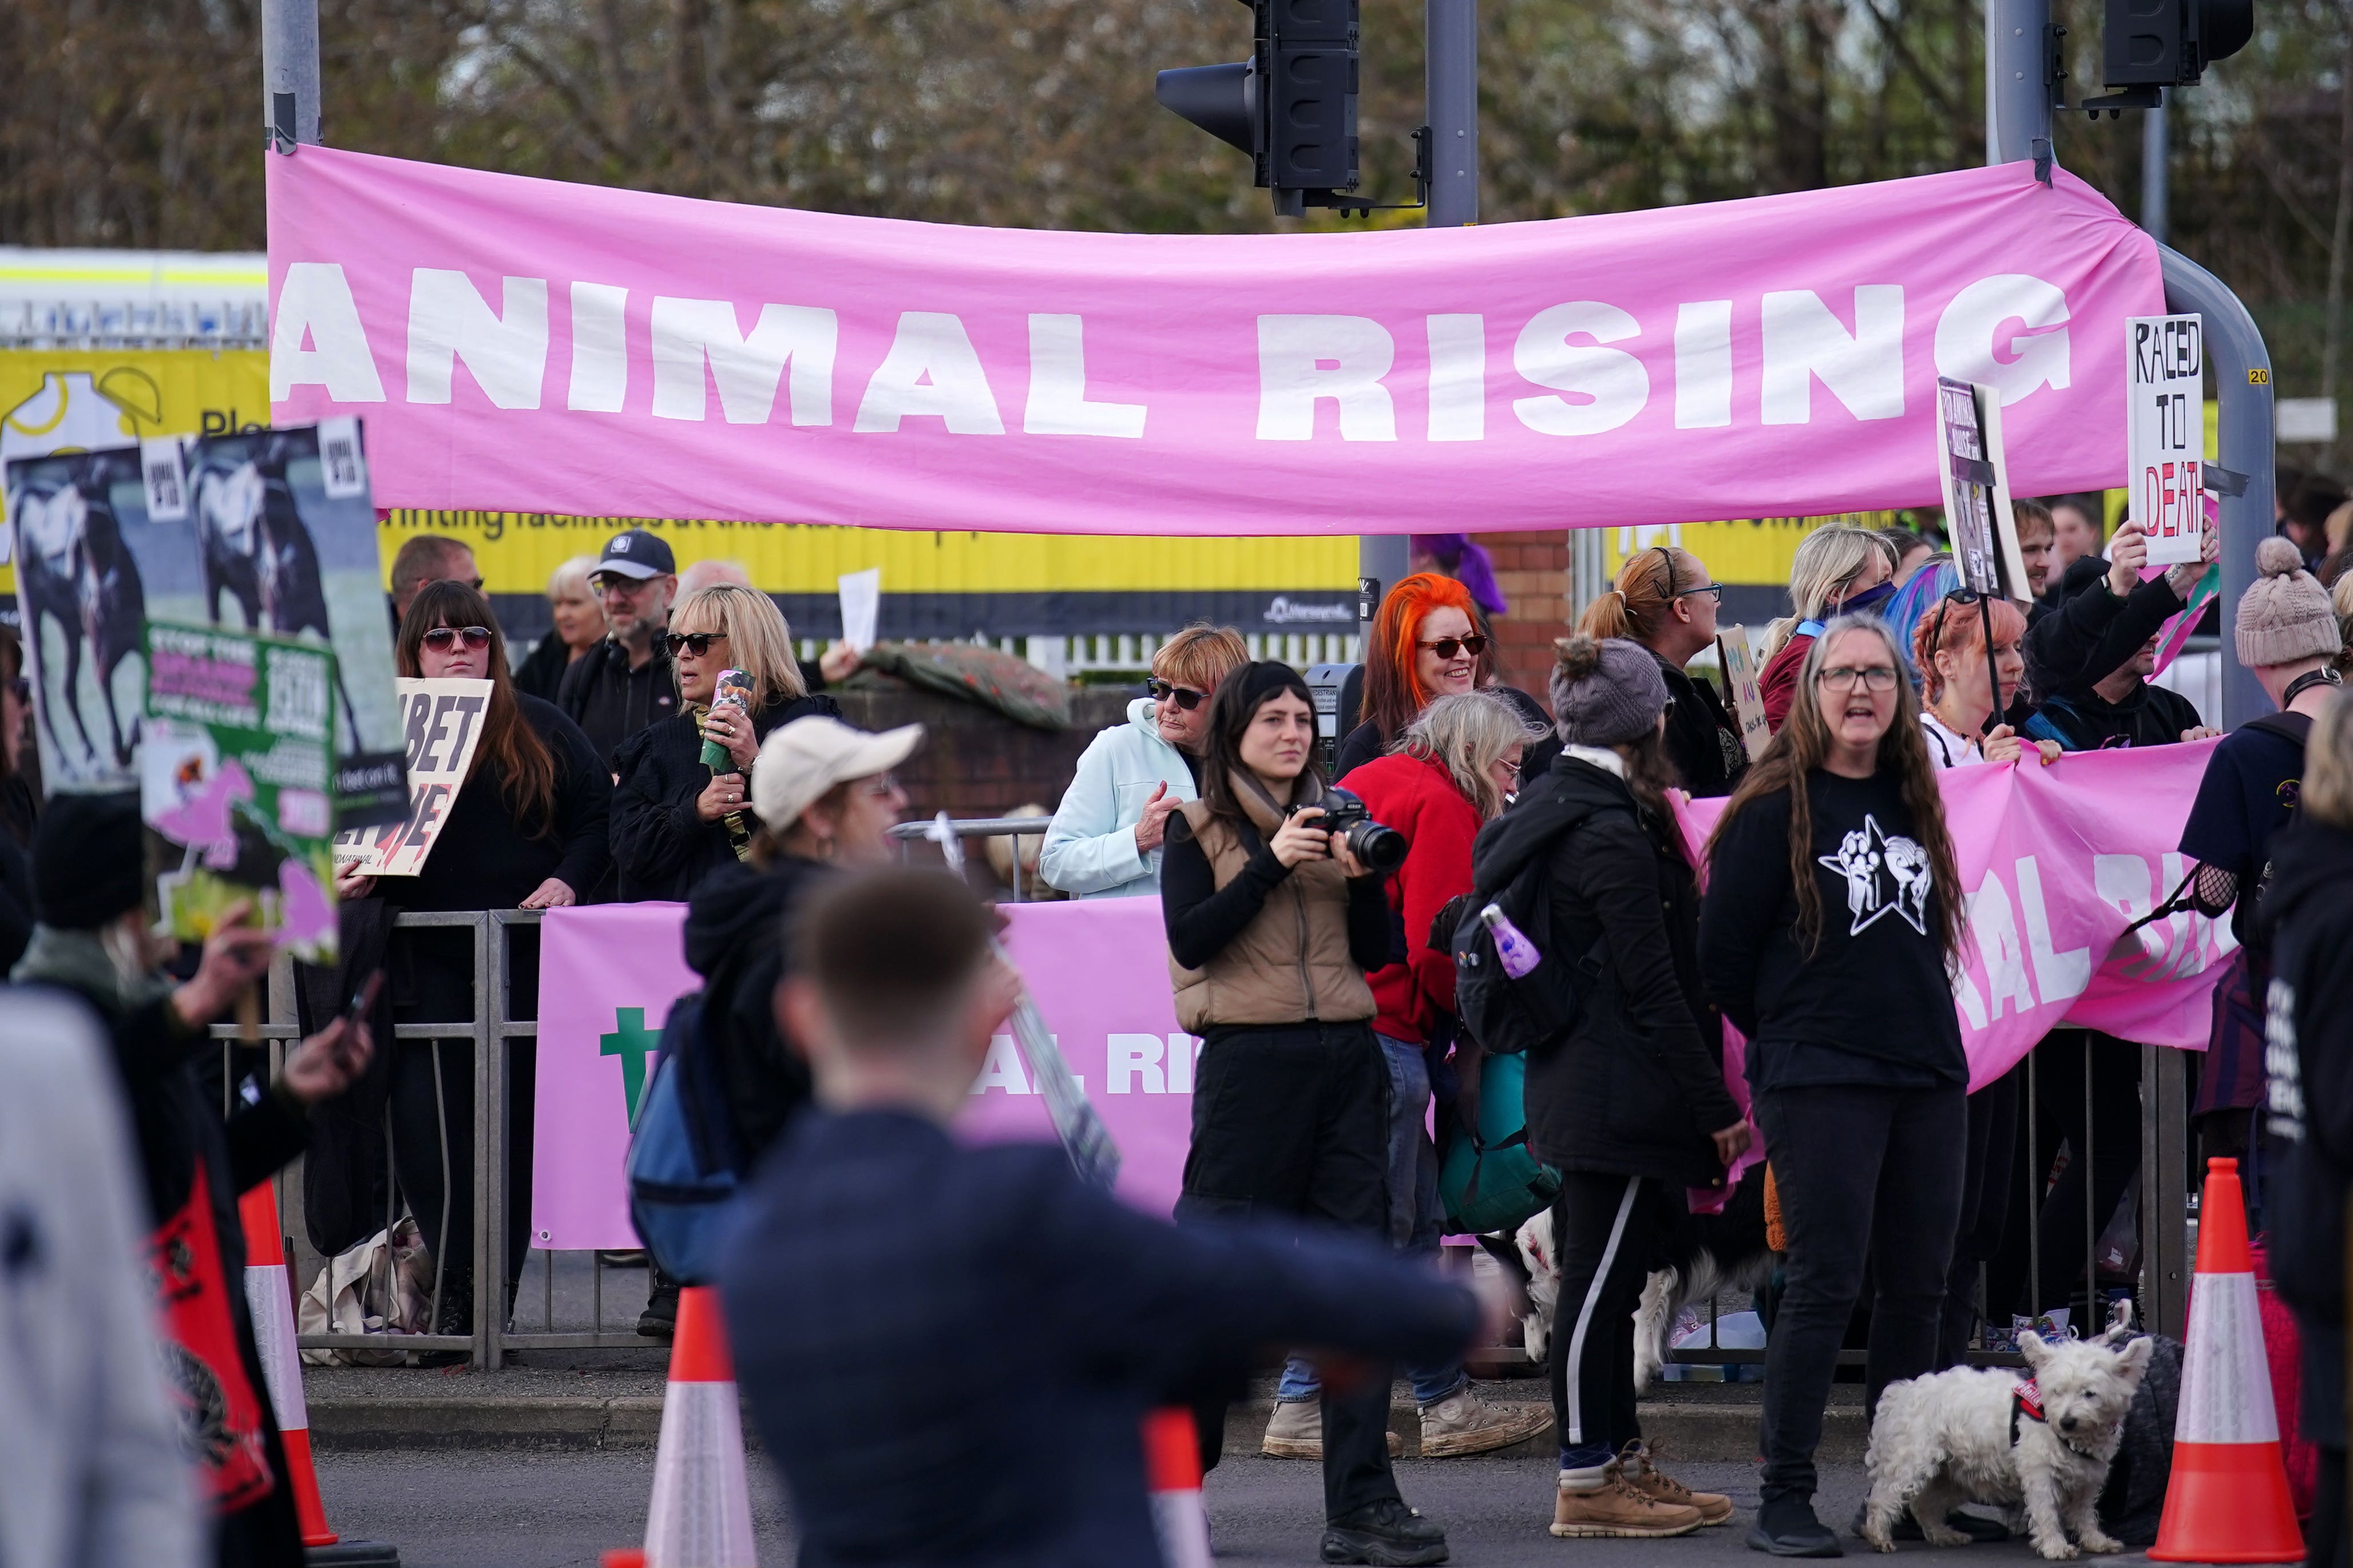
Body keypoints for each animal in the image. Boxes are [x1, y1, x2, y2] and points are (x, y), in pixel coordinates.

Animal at [1863, 1316, 2155, 1561]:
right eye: (2057, 1391)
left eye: (2090, 1393)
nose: (2067, 1421)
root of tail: (1903, 1391)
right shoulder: (2039, 1473)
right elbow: (2046, 1512)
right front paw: (2055, 1546)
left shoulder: (2087, 1478)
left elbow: (2084, 1514)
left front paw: (2096, 1541)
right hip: (1910, 1462)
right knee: (1883, 1498)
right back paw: (1879, 1535)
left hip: (1951, 1473)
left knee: (1924, 1505)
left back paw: (1945, 1534)